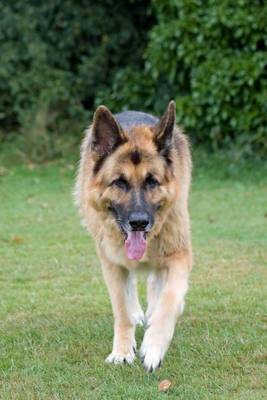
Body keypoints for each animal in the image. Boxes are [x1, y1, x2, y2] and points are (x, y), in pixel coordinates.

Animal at [75, 101, 193, 372]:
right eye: (119, 182)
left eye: (152, 182)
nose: (139, 222)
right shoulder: (111, 263)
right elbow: (122, 311)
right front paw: (121, 351)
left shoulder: (180, 255)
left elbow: (170, 298)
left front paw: (153, 346)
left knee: (157, 282)